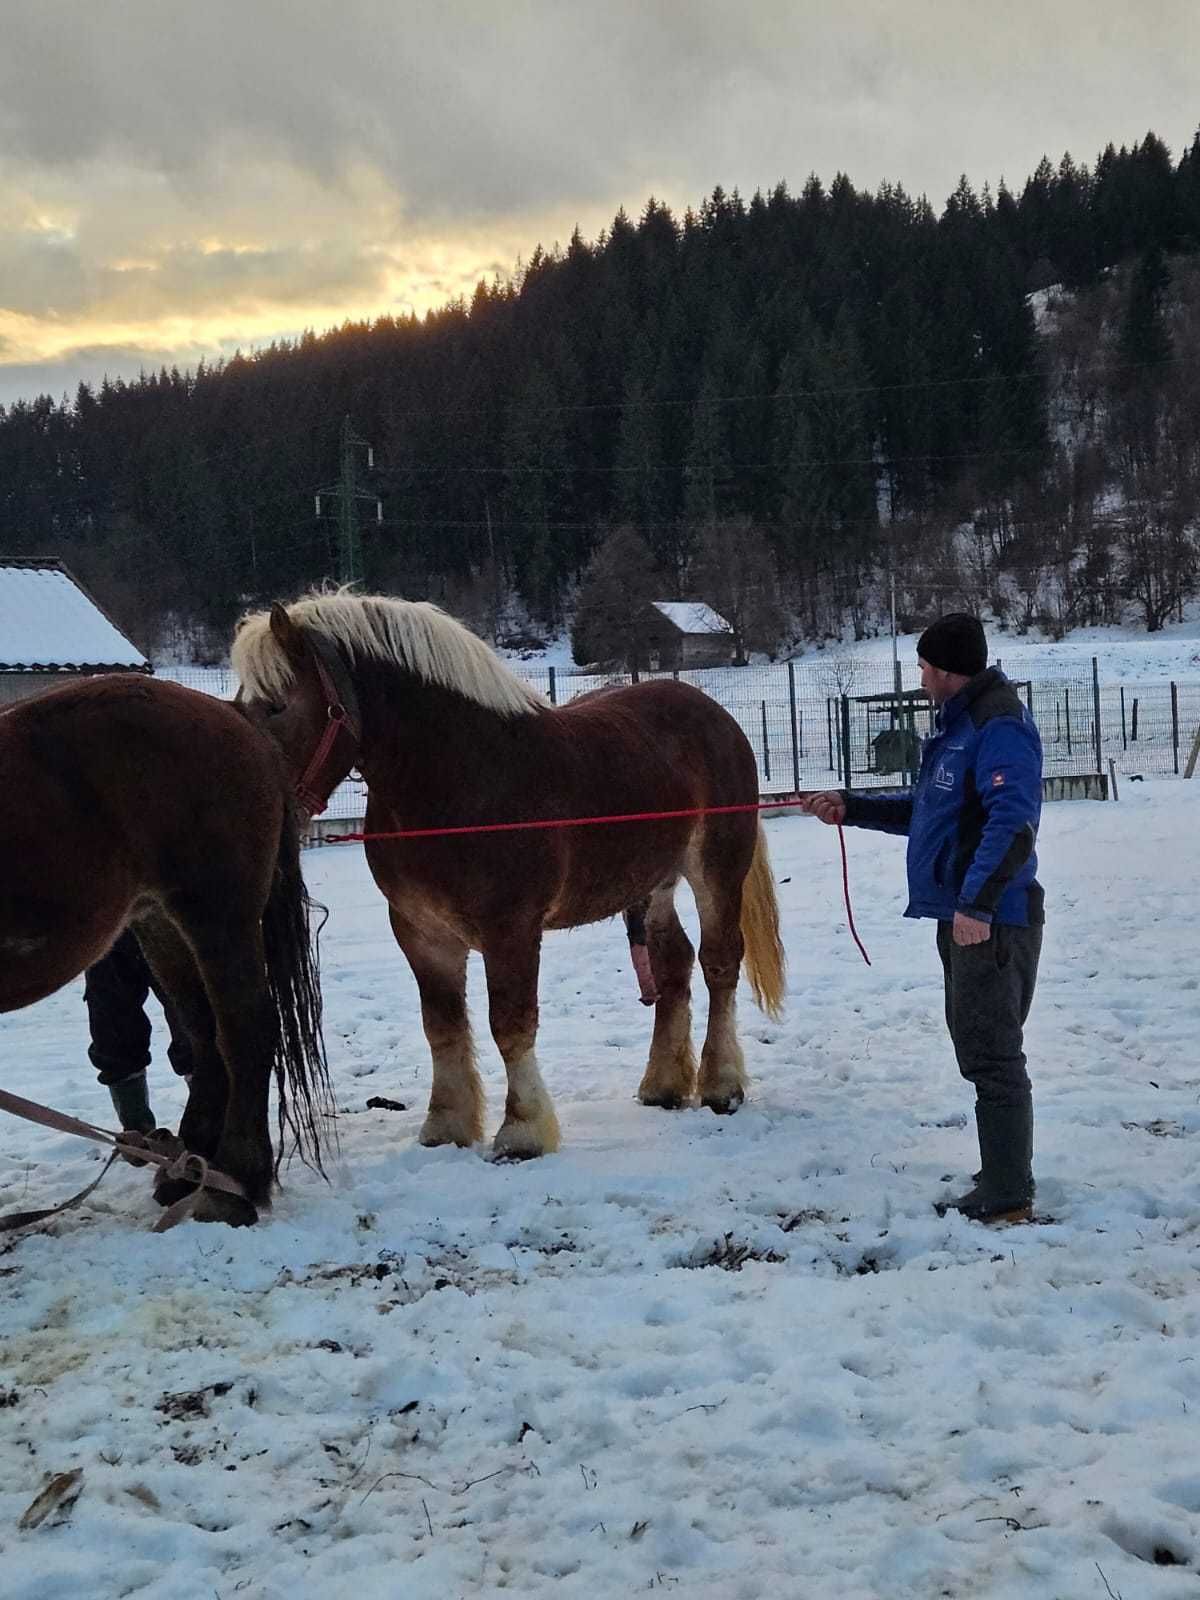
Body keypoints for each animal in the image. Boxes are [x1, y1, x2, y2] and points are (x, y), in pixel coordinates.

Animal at [0, 668, 334, 1216]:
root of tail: (233, 715)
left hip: (217, 914)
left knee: (245, 1028)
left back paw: (235, 1181)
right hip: (159, 924)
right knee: (203, 1032)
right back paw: (192, 1164)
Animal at [232, 595, 790, 1158]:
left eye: (277, 705)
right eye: (240, 704)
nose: (258, 801)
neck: (463, 779)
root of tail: (715, 715)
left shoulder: (511, 930)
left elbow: (511, 1024)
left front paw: (523, 1132)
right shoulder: (420, 934)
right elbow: (442, 1027)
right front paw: (446, 1126)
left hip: (715, 870)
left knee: (719, 963)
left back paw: (721, 1086)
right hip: (653, 882)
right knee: (673, 965)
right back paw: (664, 1085)